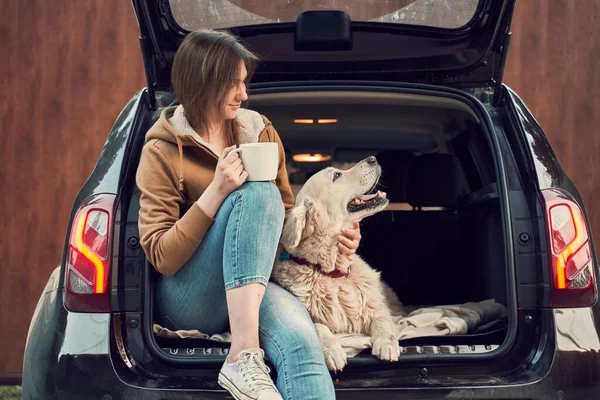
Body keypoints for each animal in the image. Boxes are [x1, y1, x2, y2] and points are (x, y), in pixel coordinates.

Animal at [272, 155, 404, 372]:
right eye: (336, 175)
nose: (372, 158)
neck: (333, 272)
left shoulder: (375, 307)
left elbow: (382, 319)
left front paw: (387, 343)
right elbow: (319, 327)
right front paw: (331, 350)